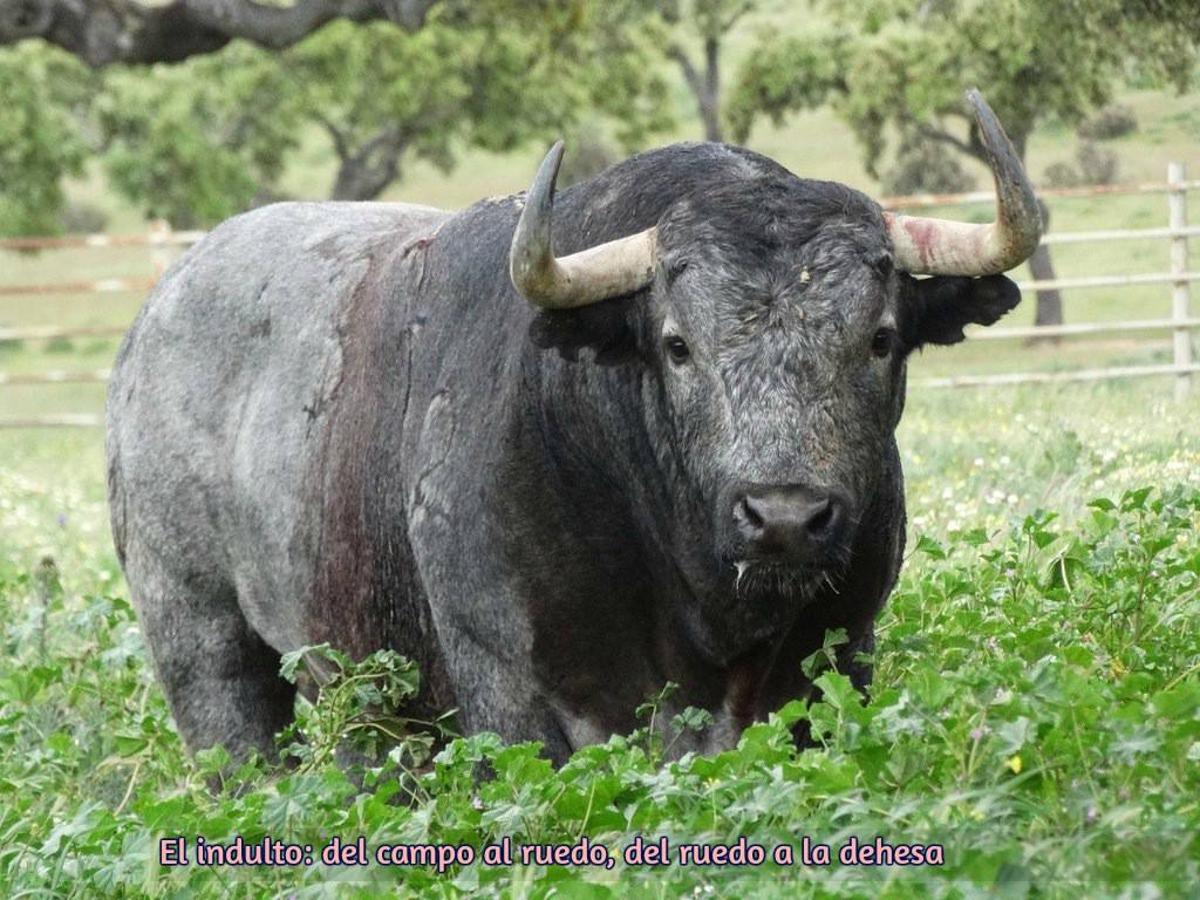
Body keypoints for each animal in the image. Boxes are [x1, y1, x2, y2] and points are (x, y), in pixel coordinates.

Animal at [105, 91, 1041, 763]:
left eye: (879, 337)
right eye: (677, 345)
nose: (782, 517)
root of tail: (155, 317)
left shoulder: (841, 659)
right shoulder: (508, 692)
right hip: (202, 645)